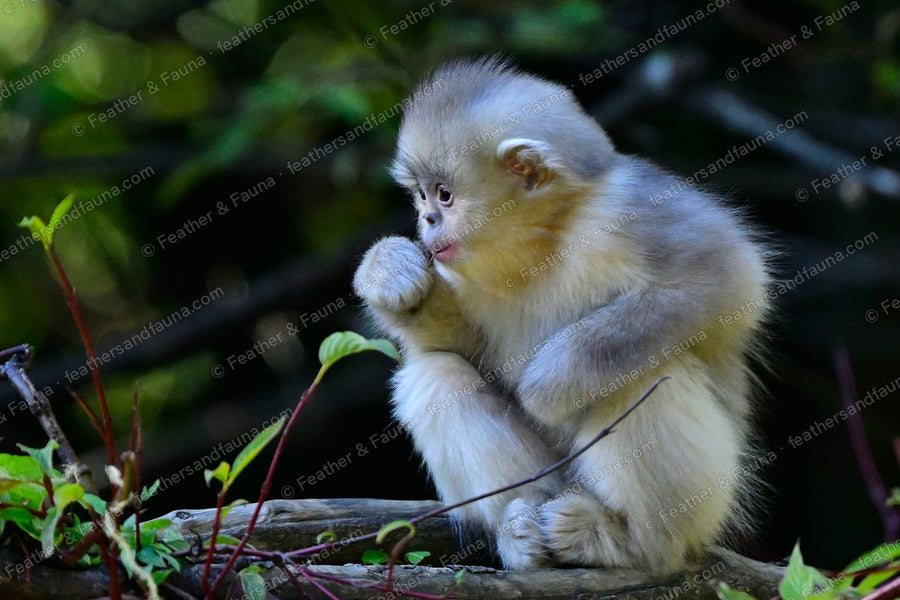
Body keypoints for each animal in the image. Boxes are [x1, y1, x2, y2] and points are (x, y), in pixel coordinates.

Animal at [353, 57, 771, 574]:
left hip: (710, 498)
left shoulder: (627, 208)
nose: (427, 221)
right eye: (421, 197)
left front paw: (546, 388)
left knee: (641, 372)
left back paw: (624, 542)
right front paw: (389, 269)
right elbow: (457, 344)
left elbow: (731, 277)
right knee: (437, 375)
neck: (545, 239)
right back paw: (523, 530)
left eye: (445, 195)